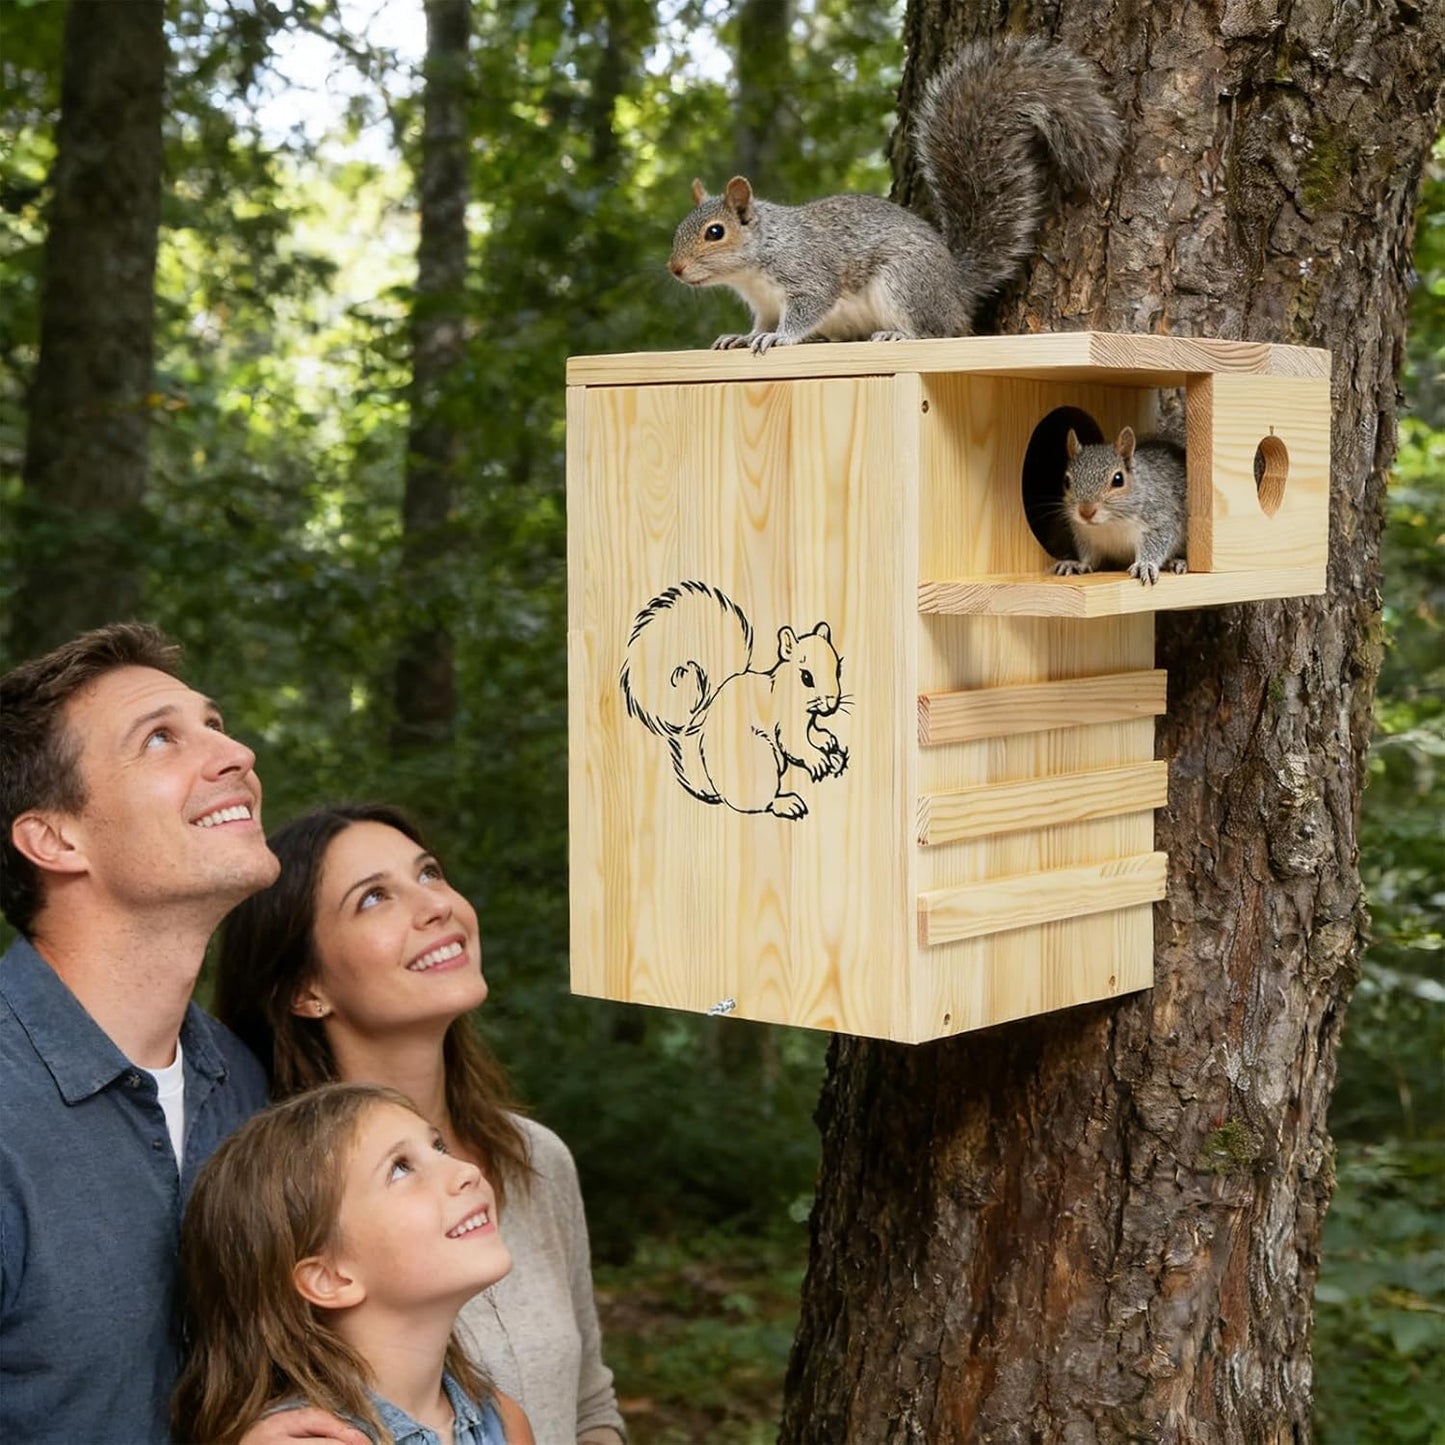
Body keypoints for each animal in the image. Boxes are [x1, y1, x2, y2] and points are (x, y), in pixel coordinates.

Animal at [618, 581, 849, 820]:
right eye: (806, 677)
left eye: (838, 670)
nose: (832, 702)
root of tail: (716, 789)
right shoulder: (786, 724)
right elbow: (795, 744)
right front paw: (818, 759)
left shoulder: (807, 722)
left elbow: (812, 733)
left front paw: (827, 741)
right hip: (760, 758)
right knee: (761, 803)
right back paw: (786, 803)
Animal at [667, 37, 1122, 353]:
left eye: (714, 232)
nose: (675, 268)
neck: (757, 260)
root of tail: (954, 289)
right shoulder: (764, 305)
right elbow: (760, 324)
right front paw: (742, 338)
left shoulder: (809, 273)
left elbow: (807, 309)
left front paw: (781, 339)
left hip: (905, 282)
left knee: (939, 331)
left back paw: (900, 336)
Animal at [1053, 427, 1189, 586]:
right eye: (1066, 481)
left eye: (1118, 479)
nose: (1086, 512)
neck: (1110, 523)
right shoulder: (1085, 536)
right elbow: (1089, 556)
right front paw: (1076, 563)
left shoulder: (1159, 519)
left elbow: (1157, 543)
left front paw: (1145, 565)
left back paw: (1178, 562)